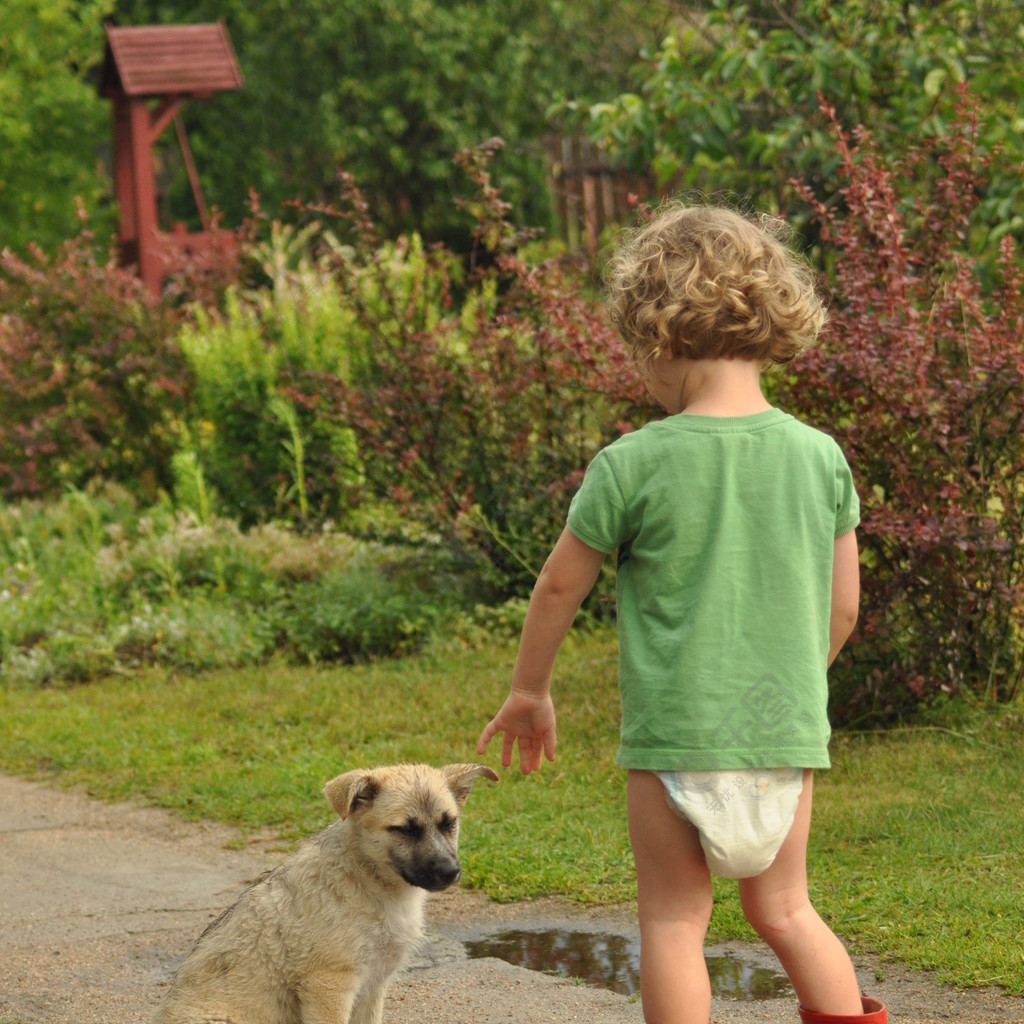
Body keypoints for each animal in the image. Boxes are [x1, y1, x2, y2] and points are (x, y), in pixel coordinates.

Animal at [152, 761, 499, 1024]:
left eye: (449, 823)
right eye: (404, 830)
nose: (450, 872)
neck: (367, 880)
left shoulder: (372, 987)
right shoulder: (329, 985)